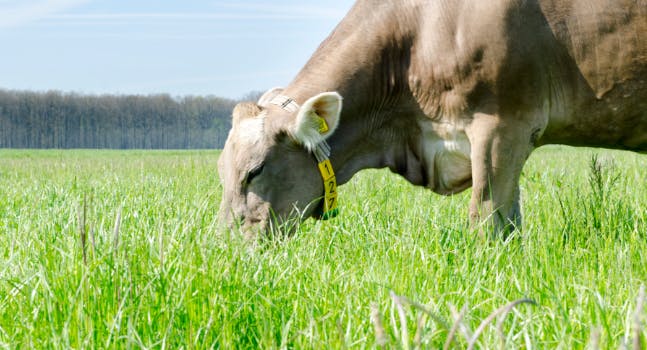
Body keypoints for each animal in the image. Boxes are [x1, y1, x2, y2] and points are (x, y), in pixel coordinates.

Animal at [218, 0, 647, 239]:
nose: (225, 249)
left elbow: (486, 220)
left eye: (254, 171)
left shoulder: (502, 124)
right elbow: (511, 221)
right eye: (222, 170)